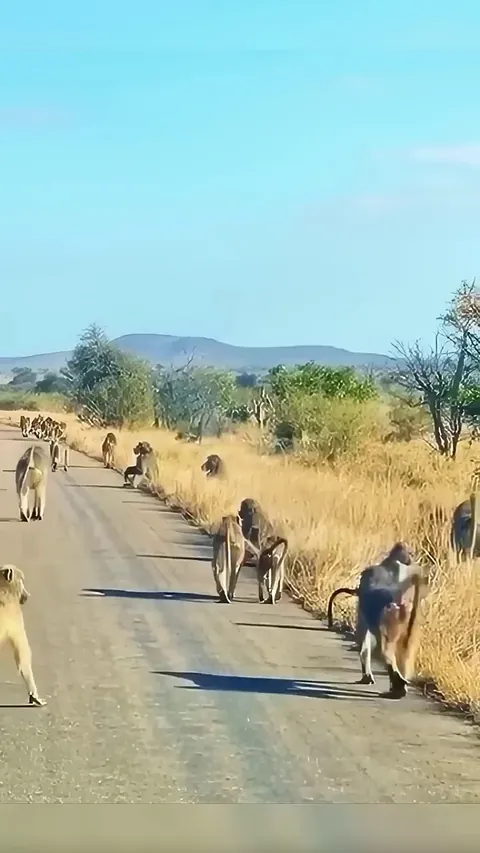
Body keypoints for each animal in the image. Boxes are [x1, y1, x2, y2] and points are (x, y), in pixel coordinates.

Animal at [327, 542, 426, 699]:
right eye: (411, 553)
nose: (412, 559)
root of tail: (400, 602)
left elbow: (363, 638)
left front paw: (366, 676)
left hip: (390, 619)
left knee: (385, 651)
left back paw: (398, 686)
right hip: (410, 620)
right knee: (404, 652)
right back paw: (399, 687)